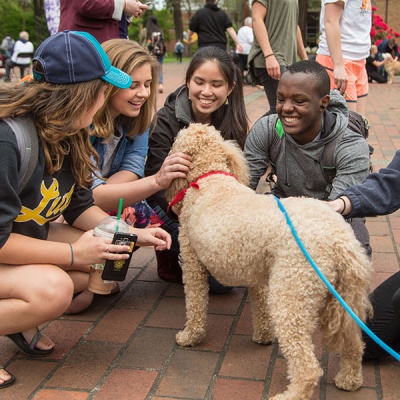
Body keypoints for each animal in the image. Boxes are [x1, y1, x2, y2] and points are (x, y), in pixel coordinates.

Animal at [166, 122, 372, 400]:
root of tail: (342, 242)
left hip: (292, 293)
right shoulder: (257, 271)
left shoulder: (192, 261)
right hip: (341, 296)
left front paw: (190, 336)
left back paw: (291, 395)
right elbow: (260, 306)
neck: (211, 178)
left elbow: (196, 304)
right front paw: (263, 336)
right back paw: (349, 380)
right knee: (353, 343)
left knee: (308, 367)